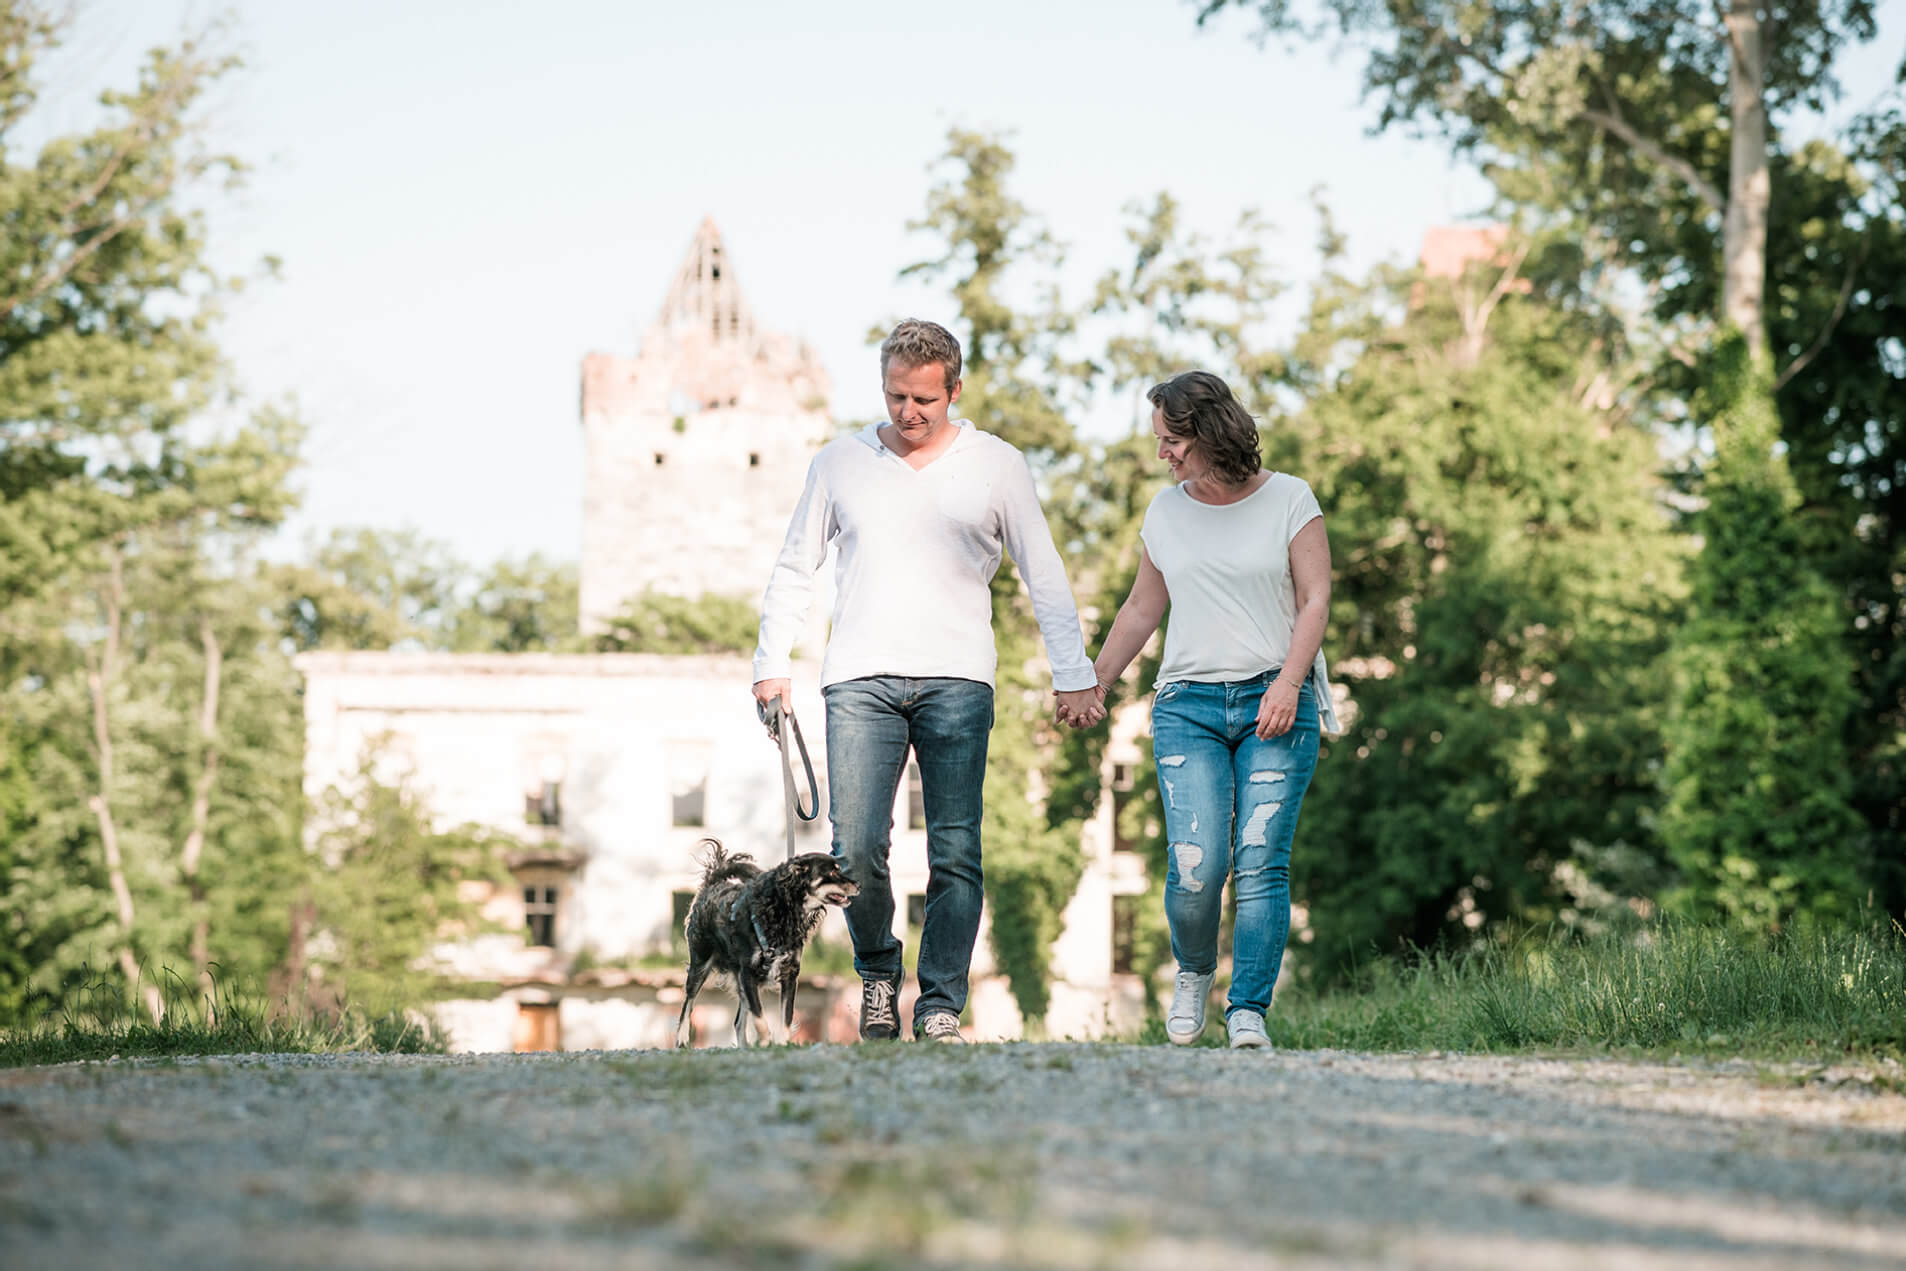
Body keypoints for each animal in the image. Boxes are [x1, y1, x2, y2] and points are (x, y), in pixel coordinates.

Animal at [674, 838, 861, 1051]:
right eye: (832, 872)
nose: (858, 884)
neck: (782, 910)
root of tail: (712, 884)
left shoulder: (789, 974)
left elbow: (786, 1016)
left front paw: (782, 1043)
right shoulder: (748, 973)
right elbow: (759, 1016)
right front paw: (765, 1041)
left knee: (738, 1021)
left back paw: (744, 1047)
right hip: (700, 963)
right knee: (688, 1001)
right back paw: (682, 1039)